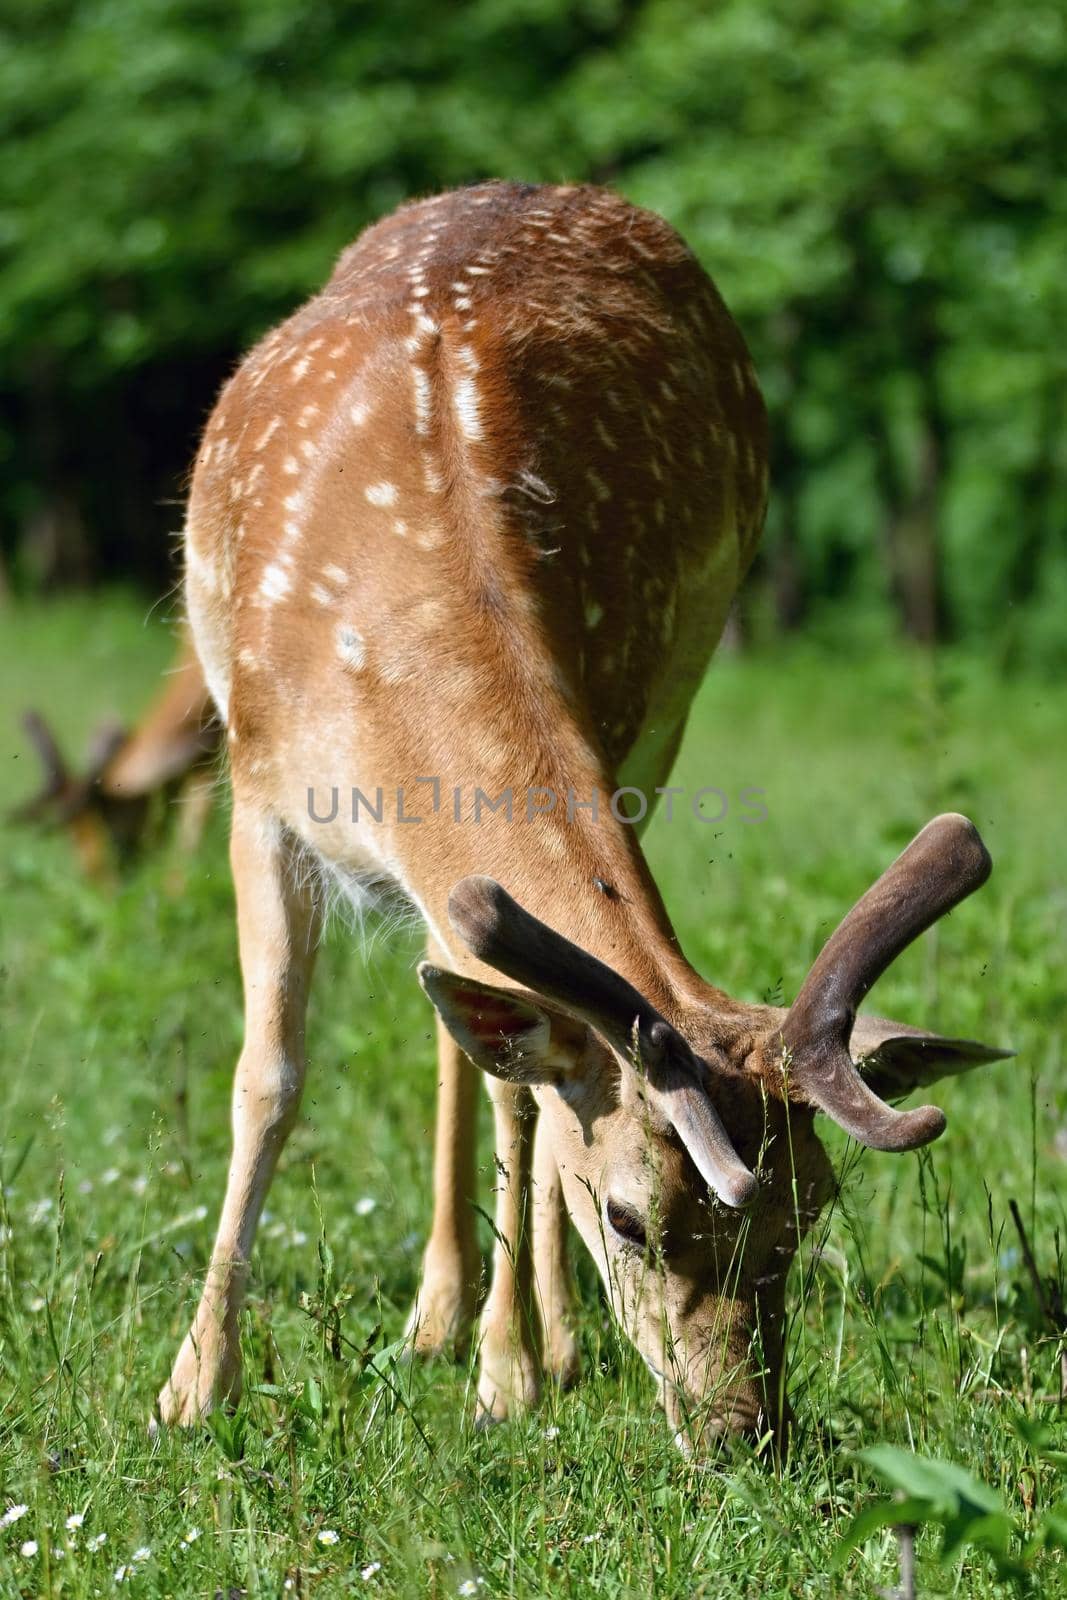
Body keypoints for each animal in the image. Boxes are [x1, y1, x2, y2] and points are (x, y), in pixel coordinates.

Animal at [160, 181, 1011, 1446]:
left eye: (809, 1210)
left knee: (487, 1041)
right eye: (628, 1216)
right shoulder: (258, 788)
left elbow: (531, 1096)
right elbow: (265, 1077)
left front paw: (510, 1369)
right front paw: (194, 1383)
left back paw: (524, 1328)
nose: (742, 1427)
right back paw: (435, 1311)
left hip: (663, 716)